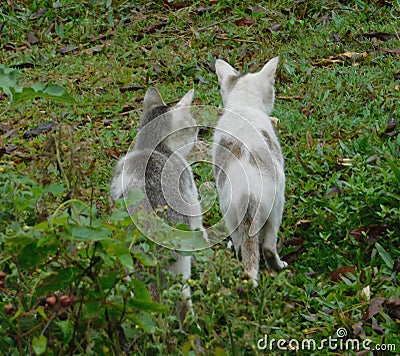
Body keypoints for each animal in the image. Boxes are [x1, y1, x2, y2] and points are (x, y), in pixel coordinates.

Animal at [212, 57, 288, 286]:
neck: (243, 106)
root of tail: (248, 196)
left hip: (229, 215)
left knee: (241, 248)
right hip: (276, 207)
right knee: (269, 247)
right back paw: (280, 266)